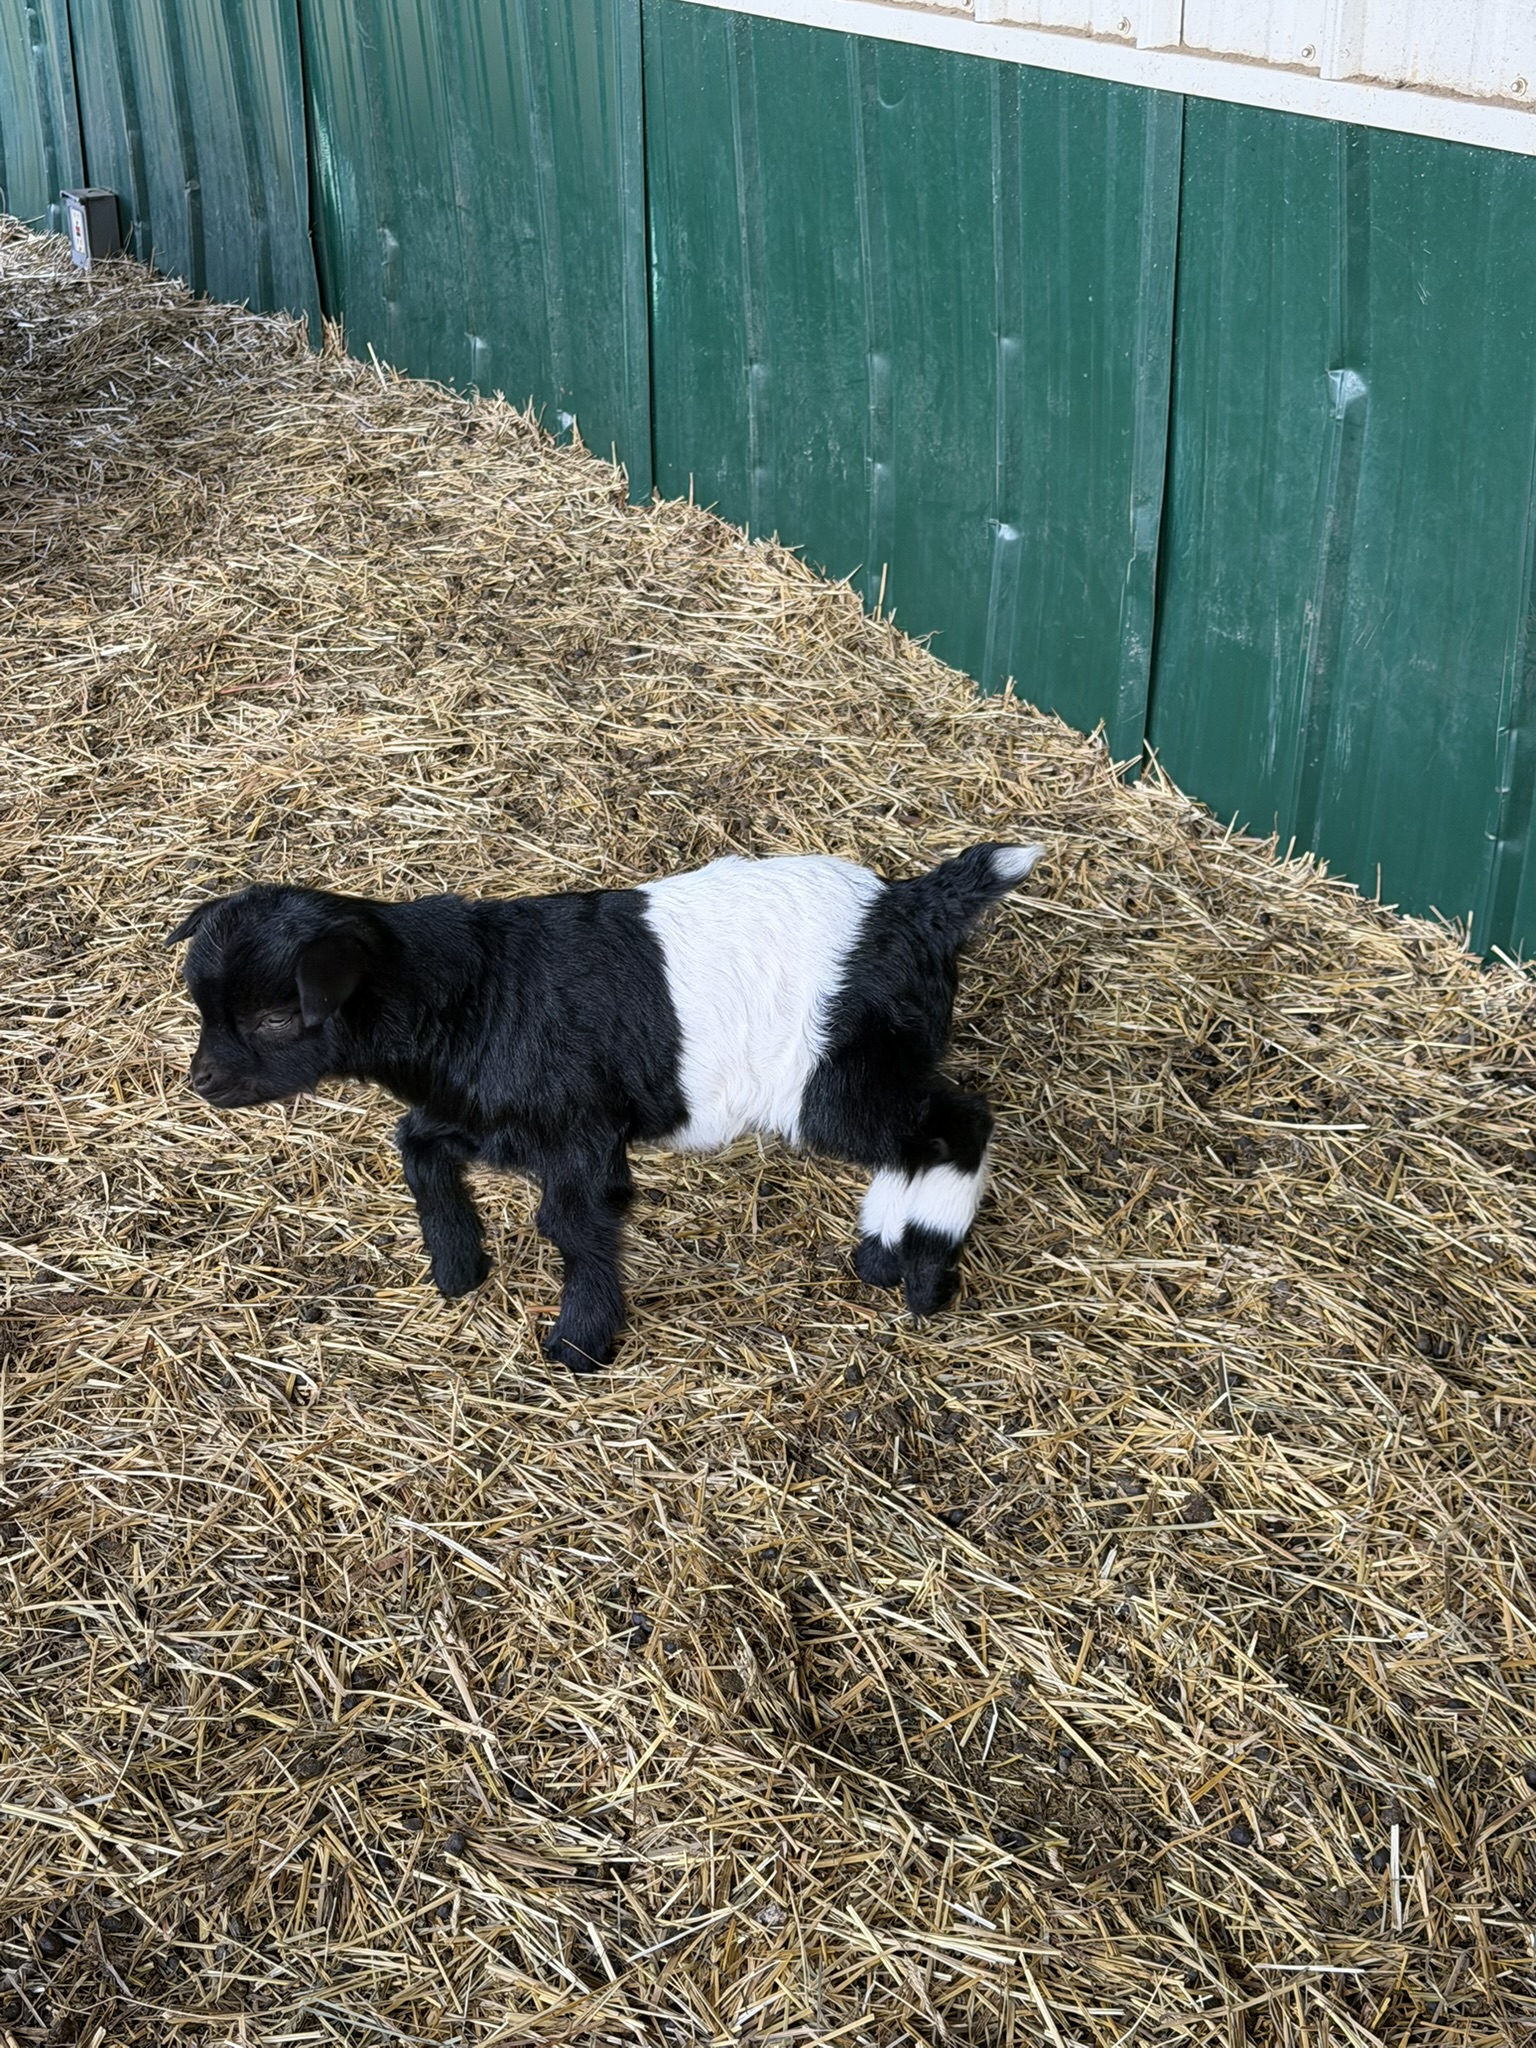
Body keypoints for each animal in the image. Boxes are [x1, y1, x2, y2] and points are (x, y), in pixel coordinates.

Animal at [168, 843, 1042, 1370]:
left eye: (276, 1018)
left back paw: (925, 1273)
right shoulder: (488, 1117)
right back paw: (882, 1252)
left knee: (959, 1123)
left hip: (836, 1076)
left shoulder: (579, 1134)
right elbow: (415, 1147)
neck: (480, 992)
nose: (203, 1082)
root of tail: (915, 905)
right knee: (917, 1140)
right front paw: (459, 1267)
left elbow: (573, 1223)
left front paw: (579, 1344)